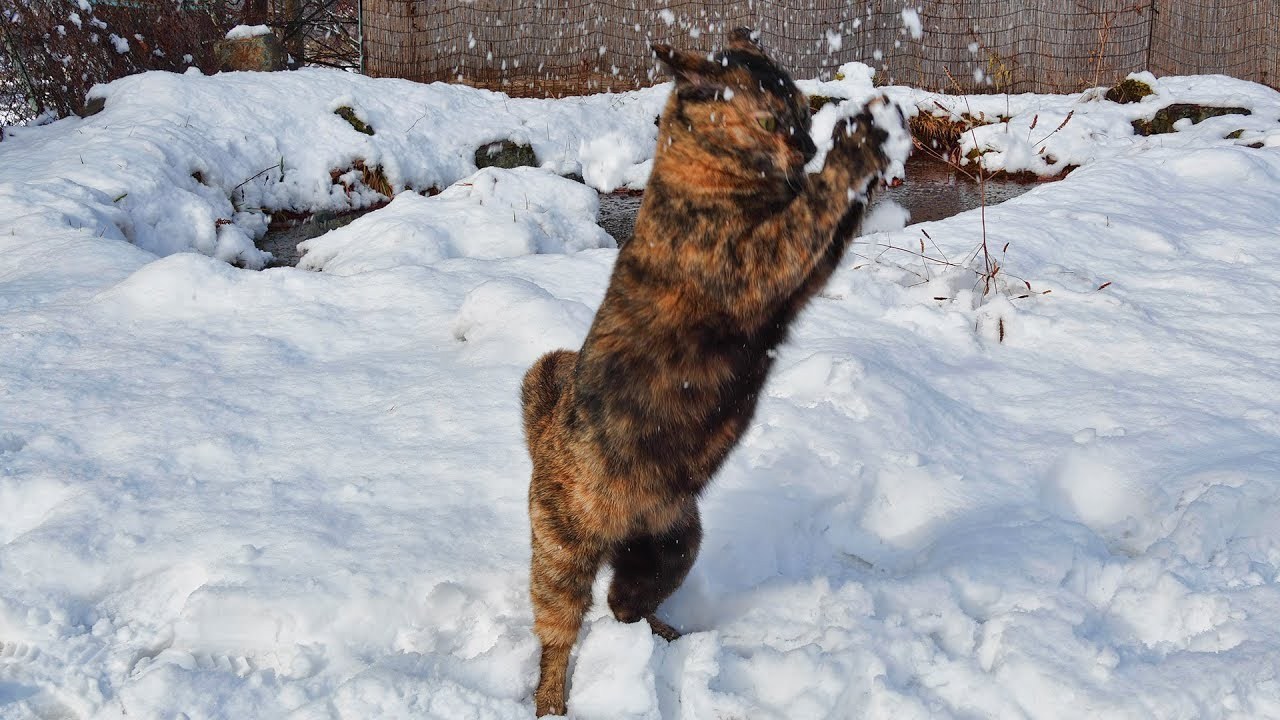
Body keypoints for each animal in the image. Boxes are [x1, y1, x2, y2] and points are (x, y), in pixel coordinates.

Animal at [519, 26, 901, 712]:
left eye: (803, 109)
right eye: (772, 118)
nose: (808, 146)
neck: (707, 178)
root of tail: (544, 433)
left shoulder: (803, 278)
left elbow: (836, 220)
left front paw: (872, 135)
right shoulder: (762, 262)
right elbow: (817, 203)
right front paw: (856, 145)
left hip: (674, 545)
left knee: (623, 605)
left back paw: (667, 637)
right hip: (562, 563)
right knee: (559, 636)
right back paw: (553, 701)